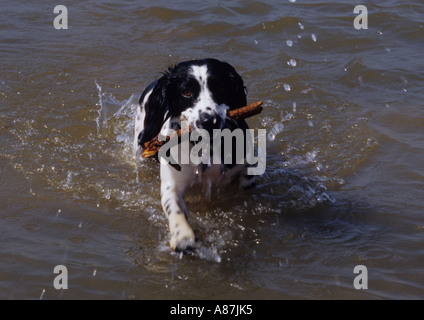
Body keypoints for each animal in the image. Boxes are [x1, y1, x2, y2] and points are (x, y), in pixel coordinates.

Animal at [134, 58, 256, 252]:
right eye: (186, 92)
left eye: (220, 87)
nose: (209, 121)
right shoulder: (173, 183)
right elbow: (174, 208)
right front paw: (184, 237)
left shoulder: (246, 163)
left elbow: (245, 183)